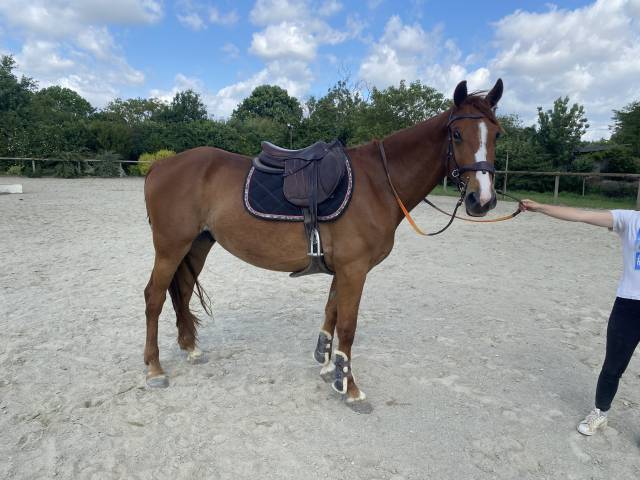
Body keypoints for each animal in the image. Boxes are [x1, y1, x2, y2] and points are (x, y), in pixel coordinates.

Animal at [142, 79, 504, 412]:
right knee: (154, 298)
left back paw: (190, 349)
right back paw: (154, 369)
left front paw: (331, 368)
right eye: (457, 135)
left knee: (182, 291)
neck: (378, 183)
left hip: (197, 245)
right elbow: (348, 325)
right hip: (171, 247)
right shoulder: (354, 269)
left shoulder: (341, 269)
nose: (482, 200)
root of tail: (160, 165)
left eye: (497, 135)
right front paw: (351, 387)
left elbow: (331, 312)